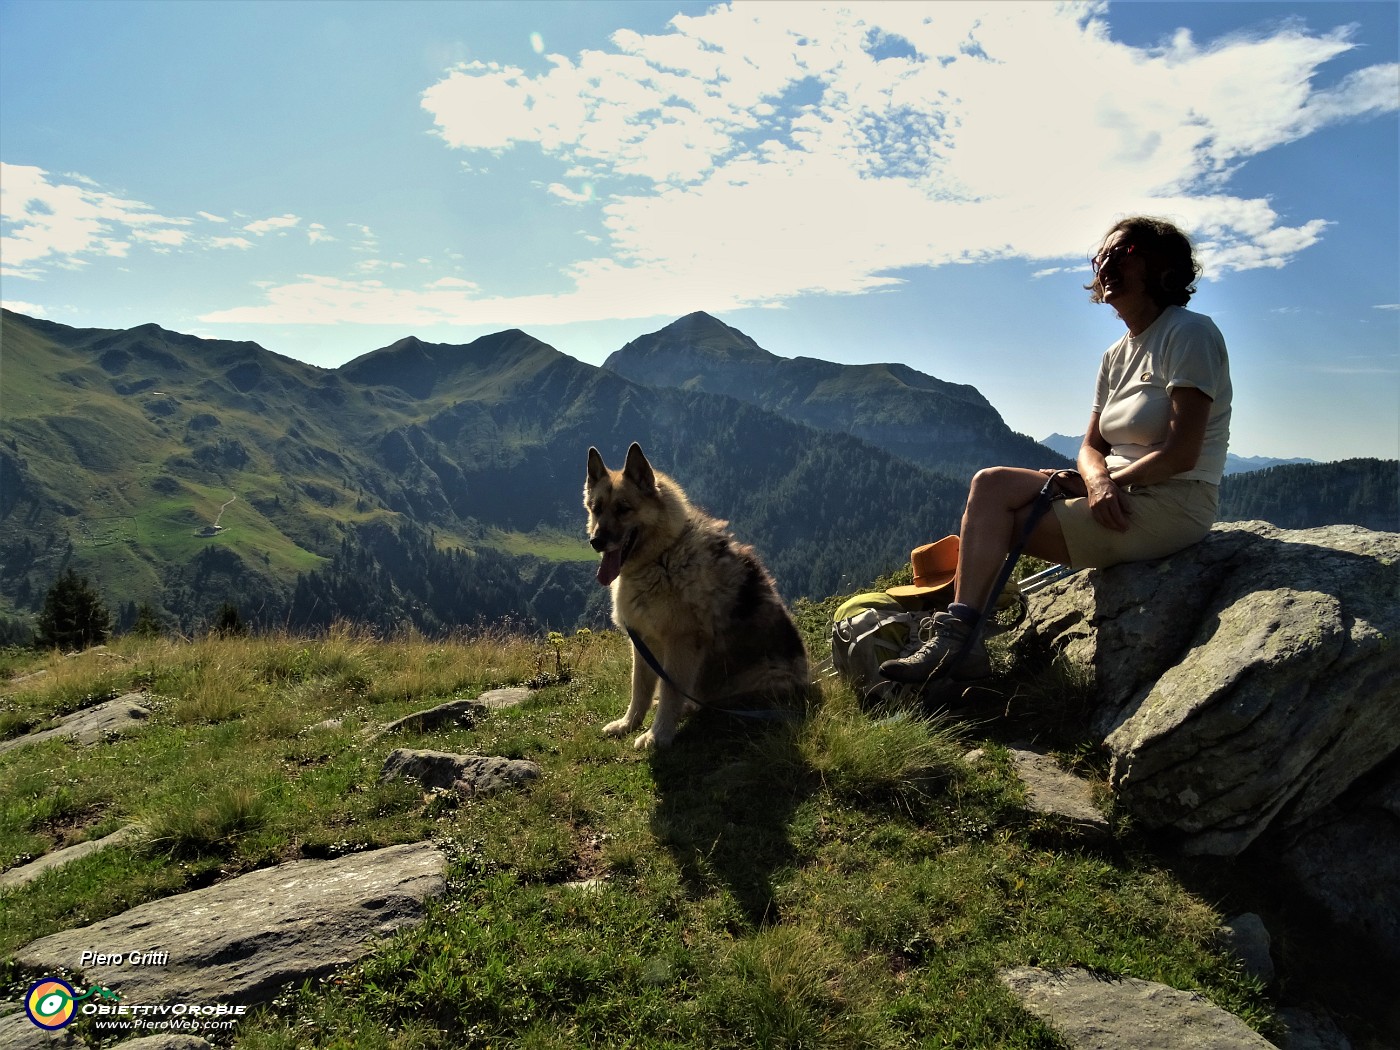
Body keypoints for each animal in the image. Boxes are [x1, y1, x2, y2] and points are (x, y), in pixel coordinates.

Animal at [585, 445, 817, 750]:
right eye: (597, 509)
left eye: (624, 509)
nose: (596, 542)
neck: (662, 557)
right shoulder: (643, 643)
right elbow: (640, 688)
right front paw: (628, 724)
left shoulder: (680, 643)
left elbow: (670, 690)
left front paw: (658, 735)